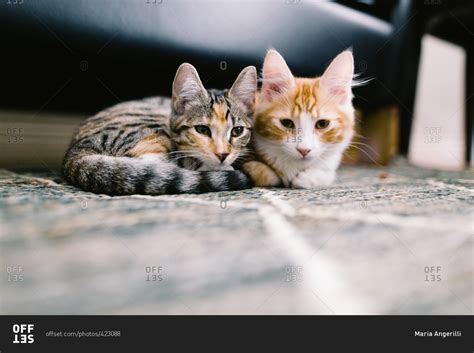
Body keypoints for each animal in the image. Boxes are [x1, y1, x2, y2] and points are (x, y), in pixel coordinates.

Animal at [244, 48, 356, 190]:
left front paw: (308, 178)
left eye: (322, 124)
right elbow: (264, 173)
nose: (304, 150)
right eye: (286, 123)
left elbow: (327, 174)